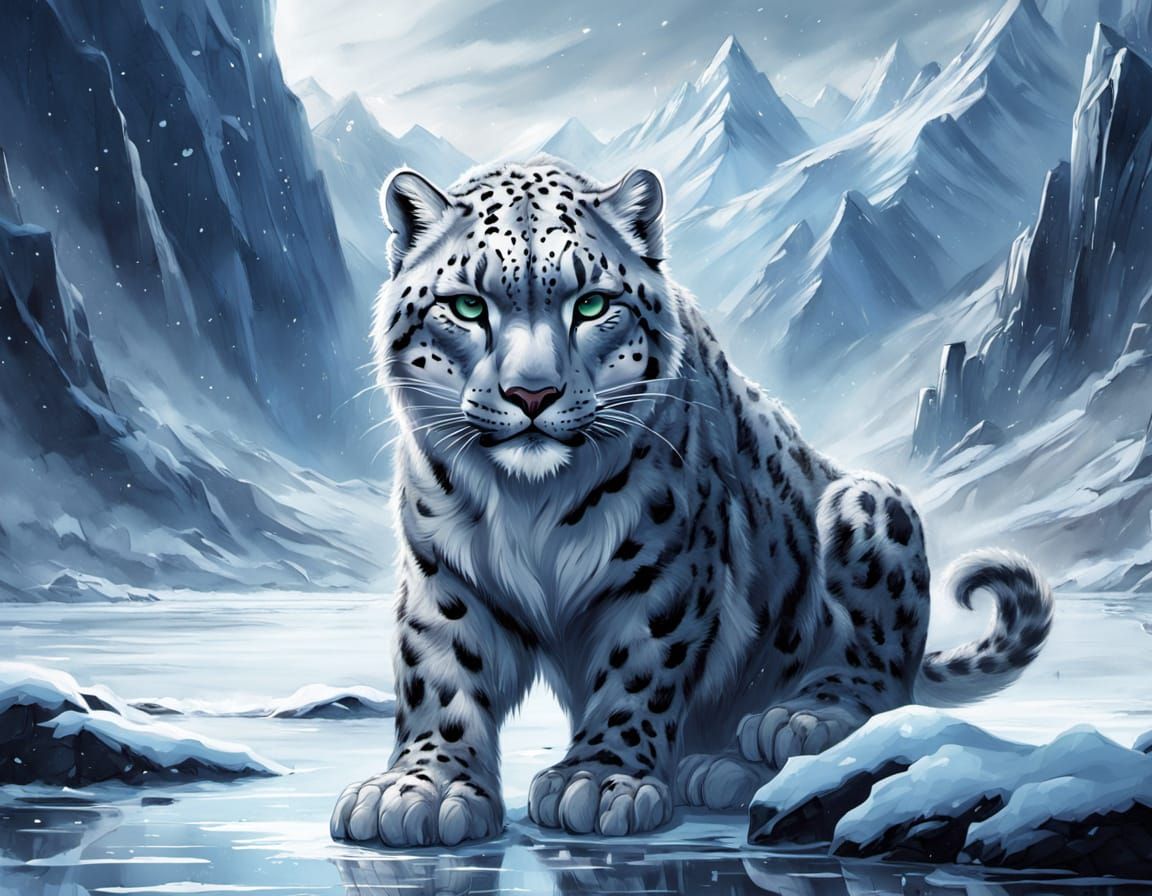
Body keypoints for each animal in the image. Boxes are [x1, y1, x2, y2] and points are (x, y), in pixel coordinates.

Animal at [329, 158, 1053, 847]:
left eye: (591, 304)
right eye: (468, 307)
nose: (532, 394)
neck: (529, 501)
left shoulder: (664, 564)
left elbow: (639, 665)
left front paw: (600, 779)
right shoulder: (444, 570)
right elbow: (440, 673)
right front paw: (421, 789)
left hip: (865, 502)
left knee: (881, 678)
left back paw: (792, 722)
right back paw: (719, 766)